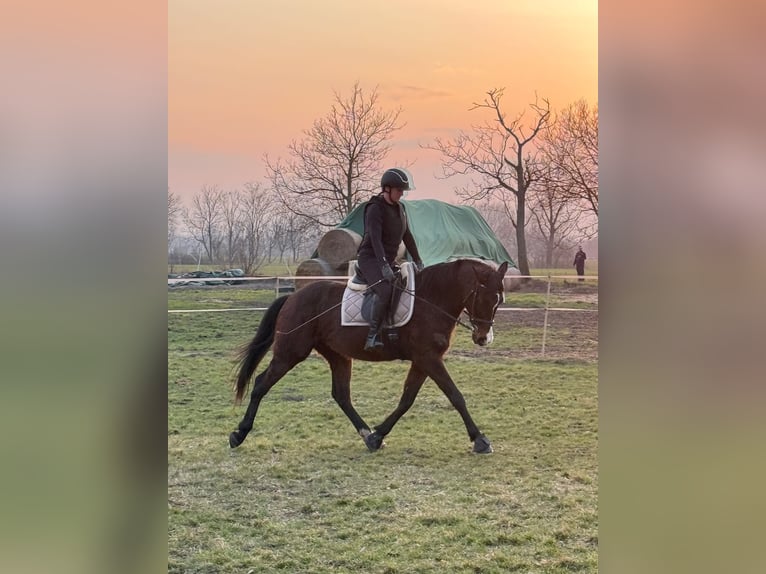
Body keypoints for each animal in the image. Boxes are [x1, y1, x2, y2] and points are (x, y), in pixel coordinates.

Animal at [229, 259, 509, 454]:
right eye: (485, 297)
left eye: (500, 300)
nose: (484, 338)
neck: (431, 300)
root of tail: (293, 296)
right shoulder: (428, 358)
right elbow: (455, 395)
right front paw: (480, 440)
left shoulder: (423, 361)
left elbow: (407, 399)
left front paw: (378, 435)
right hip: (290, 352)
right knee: (261, 384)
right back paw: (239, 434)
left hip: (338, 356)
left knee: (341, 395)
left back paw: (366, 435)